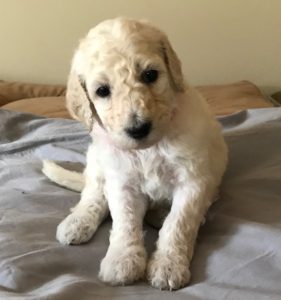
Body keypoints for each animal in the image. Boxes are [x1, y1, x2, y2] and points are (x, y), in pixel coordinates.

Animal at [43, 17, 228, 290]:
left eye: (150, 75)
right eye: (102, 91)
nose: (138, 128)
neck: (149, 149)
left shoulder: (193, 180)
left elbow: (179, 222)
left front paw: (168, 265)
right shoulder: (121, 181)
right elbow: (125, 221)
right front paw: (123, 259)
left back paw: (162, 214)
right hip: (96, 158)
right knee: (93, 194)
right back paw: (77, 222)